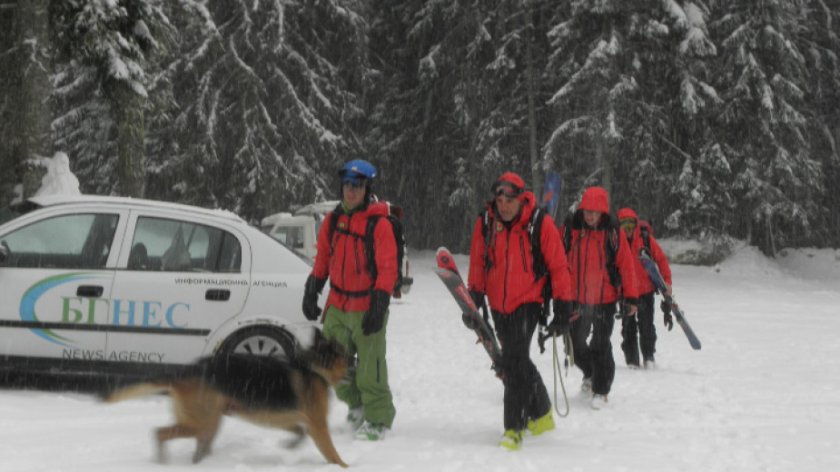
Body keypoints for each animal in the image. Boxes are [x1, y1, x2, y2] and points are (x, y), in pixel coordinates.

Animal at [104, 330, 348, 466]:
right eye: (345, 355)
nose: (354, 362)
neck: (315, 367)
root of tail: (186, 371)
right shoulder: (318, 424)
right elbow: (332, 452)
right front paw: (342, 466)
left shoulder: (282, 419)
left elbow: (299, 432)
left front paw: (290, 444)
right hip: (202, 423)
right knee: (160, 432)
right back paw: (162, 461)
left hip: (209, 423)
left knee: (192, 445)